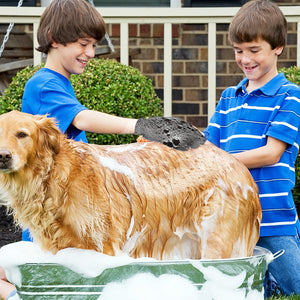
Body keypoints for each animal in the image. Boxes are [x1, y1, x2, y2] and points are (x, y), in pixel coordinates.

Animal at [0, 111, 262, 258]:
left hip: (218, 242)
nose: (3, 156)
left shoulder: (104, 247)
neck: (58, 177)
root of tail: (235, 161)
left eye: (22, 134)